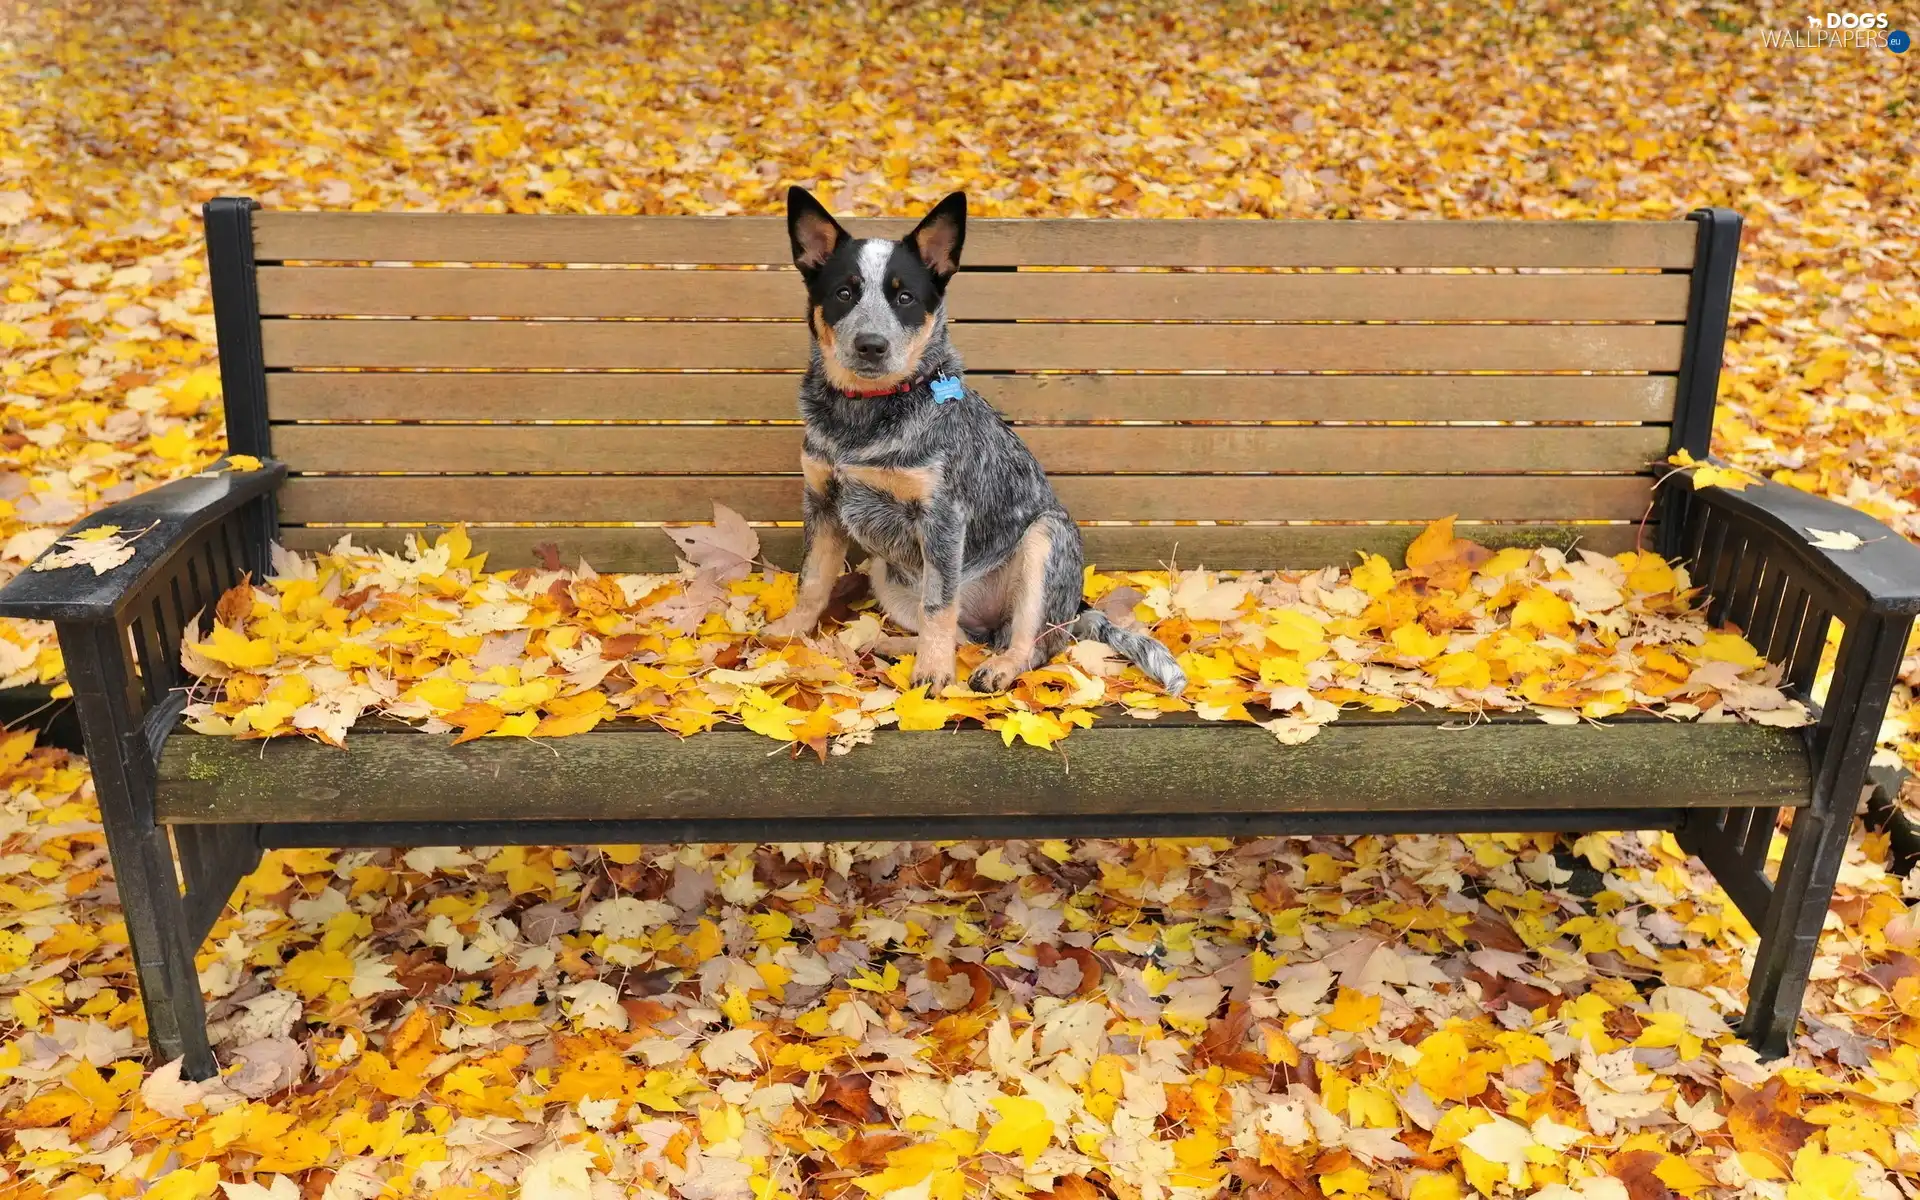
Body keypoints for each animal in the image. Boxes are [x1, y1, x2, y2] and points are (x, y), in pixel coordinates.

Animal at [760, 185, 1182, 691]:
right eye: (844, 292)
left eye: (905, 297)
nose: (871, 344)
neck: (862, 416)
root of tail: (1075, 609)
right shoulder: (822, 502)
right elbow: (812, 581)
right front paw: (790, 633)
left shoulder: (943, 517)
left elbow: (939, 605)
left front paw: (933, 673)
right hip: (886, 571)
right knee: (963, 636)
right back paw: (889, 645)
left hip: (1045, 539)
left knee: (1032, 645)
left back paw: (997, 667)